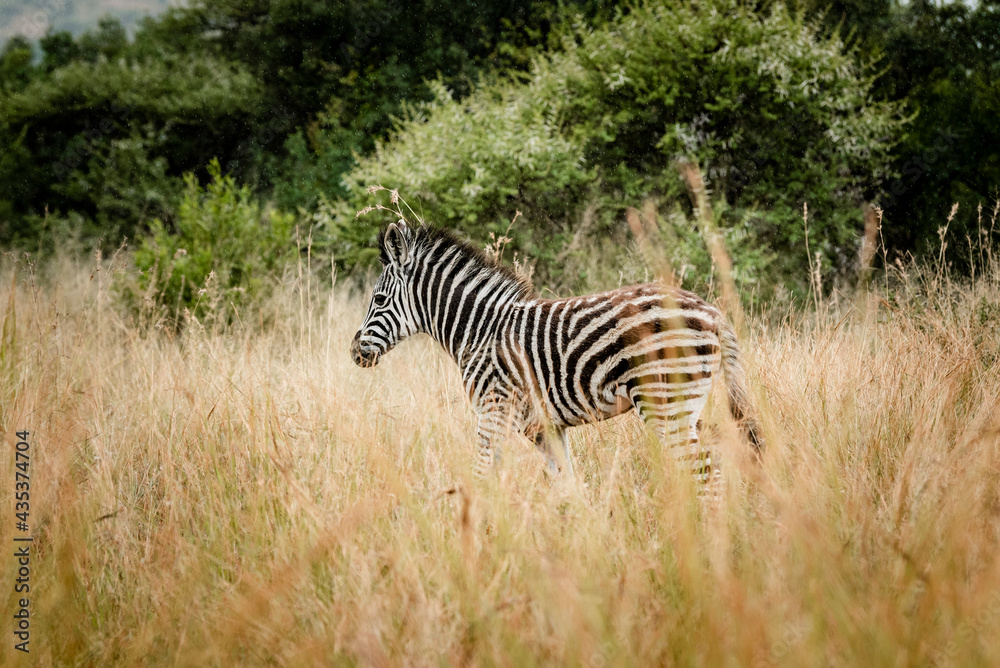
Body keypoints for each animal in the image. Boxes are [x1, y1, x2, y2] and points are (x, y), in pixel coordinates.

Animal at [350, 221, 763, 496]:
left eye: (379, 300)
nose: (355, 352)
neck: (479, 331)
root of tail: (713, 311)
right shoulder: (543, 427)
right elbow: (568, 487)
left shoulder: (494, 411)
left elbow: (482, 477)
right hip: (684, 406)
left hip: (666, 405)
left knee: (706, 473)